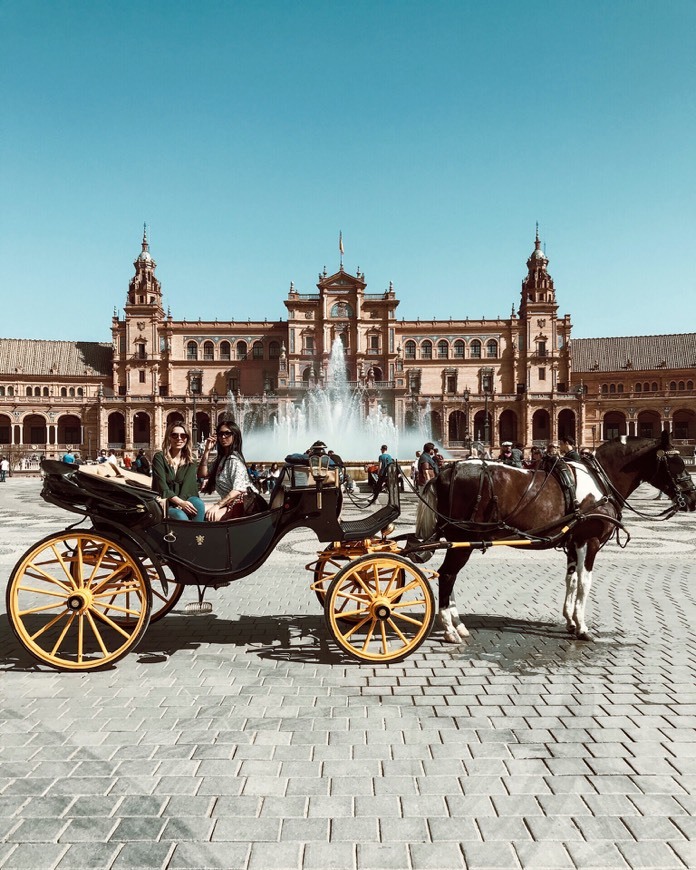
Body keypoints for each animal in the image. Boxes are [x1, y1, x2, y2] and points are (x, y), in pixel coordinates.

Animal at [416, 434, 692, 644]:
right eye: (676, 463)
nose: (692, 498)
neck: (600, 480)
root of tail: (446, 470)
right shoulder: (589, 541)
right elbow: (584, 582)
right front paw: (582, 628)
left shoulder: (572, 543)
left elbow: (571, 580)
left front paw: (570, 621)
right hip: (462, 540)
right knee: (447, 575)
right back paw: (450, 629)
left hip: (460, 542)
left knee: (450, 576)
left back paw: (458, 624)